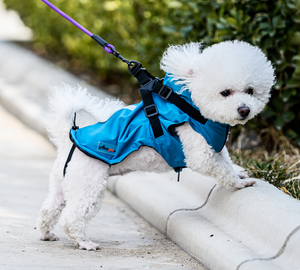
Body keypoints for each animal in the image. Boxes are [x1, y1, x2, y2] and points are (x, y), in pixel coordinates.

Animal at [38, 40, 276, 251]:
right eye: (225, 92)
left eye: (250, 90)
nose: (244, 110)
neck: (194, 108)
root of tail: (68, 138)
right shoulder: (199, 153)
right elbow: (221, 169)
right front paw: (239, 183)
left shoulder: (216, 147)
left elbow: (227, 161)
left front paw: (240, 174)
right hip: (89, 184)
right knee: (72, 217)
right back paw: (83, 242)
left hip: (63, 183)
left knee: (49, 209)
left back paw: (46, 233)